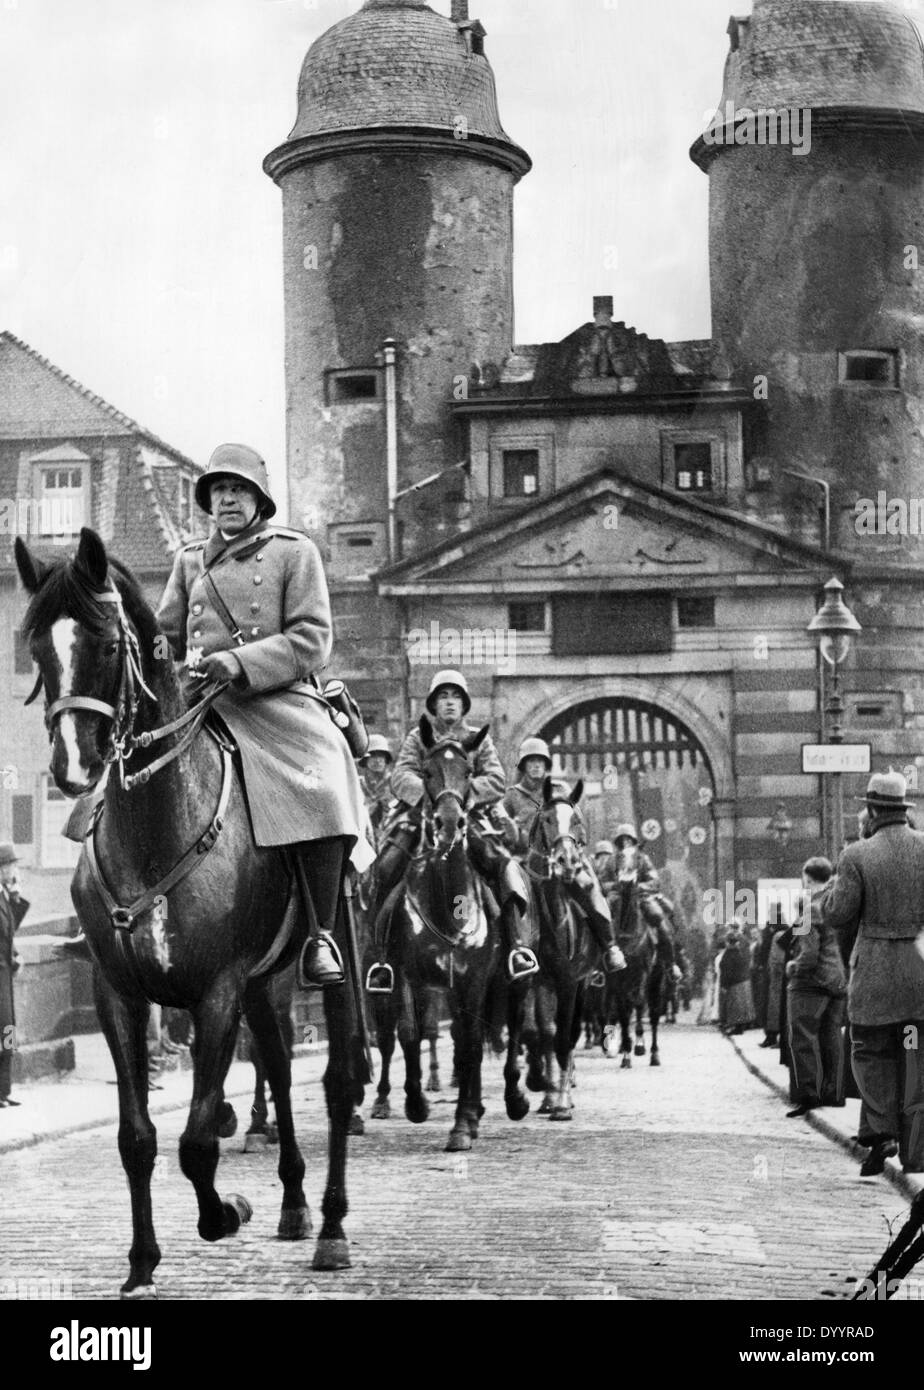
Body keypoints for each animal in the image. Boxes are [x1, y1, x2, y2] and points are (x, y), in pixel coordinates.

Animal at [15, 525, 366, 1295]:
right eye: (36, 648)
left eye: (105, 645)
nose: (72, 769)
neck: (156, 826)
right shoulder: (119, 992)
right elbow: (138, 1138)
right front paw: (142, 1261)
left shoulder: (217, 991)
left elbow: (198, 1138)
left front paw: (224, 1211)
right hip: (267, 985)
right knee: (281, 1068)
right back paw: (294, 1203)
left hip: (327, 961)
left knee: (337, 1081)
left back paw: (331, 1227)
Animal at [605, 878, 664, 1061]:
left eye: (633, 904)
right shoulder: (616, 980)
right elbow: (622, 1010)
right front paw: (625, 1053)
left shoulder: (642, 974)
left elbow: (638, 1003)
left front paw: (638, 1046)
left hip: (656, 979)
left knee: (653, 1013)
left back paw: (654, 1053)